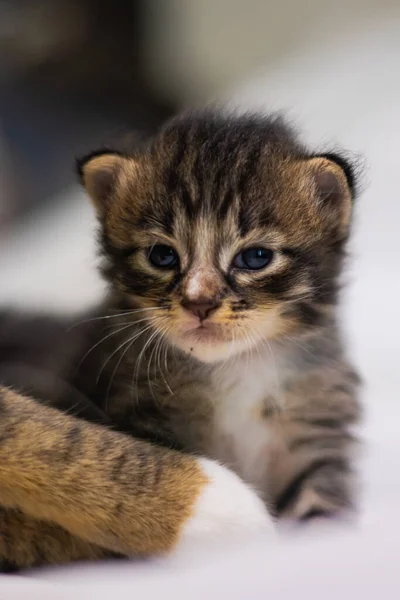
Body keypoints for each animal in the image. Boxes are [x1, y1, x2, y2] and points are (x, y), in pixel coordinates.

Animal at [0, 110, 360, 568]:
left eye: (255, 257)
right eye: (162, 256)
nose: (198, 302)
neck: (235, 368)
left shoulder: (315, 429)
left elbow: (321, 510)